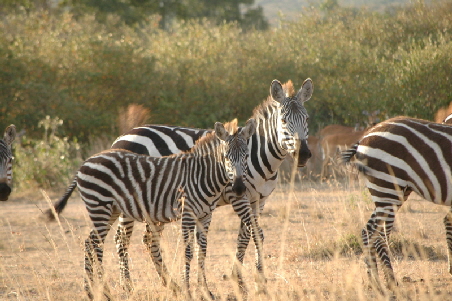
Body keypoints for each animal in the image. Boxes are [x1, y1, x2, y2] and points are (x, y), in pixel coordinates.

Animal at [47, 118, 256, 298]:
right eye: (226, 157)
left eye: (247, 156)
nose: (239, 188)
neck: (203, 175)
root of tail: (86, 162)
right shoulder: (187, 213)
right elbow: (188, 251)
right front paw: (188, 291)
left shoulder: (205, 216)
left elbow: (202, 251)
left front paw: (205, 291)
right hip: (100, 206)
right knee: (96, 244)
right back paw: (101, 291)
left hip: (110, 210)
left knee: (90, 242)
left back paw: (93, 291)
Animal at [110, 78, 314, 292]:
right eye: (283, 121)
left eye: (307, 119)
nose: (303, 154)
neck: (258, 154)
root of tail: (123, 136)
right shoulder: (237, 196)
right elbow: (253, 233)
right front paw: (250, 282)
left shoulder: (259, 200)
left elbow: (247, 236)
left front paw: (243, 279)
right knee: (122, 238)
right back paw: (127, 286)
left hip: (152, 204)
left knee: (149, 239)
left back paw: (170, 284)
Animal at [340, 115, 452, 292]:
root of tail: (365, 137)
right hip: (387, 188)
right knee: (380, 235)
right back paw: (391, 282)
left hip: (392, 192)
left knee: (368, 231)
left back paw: (374, 282)